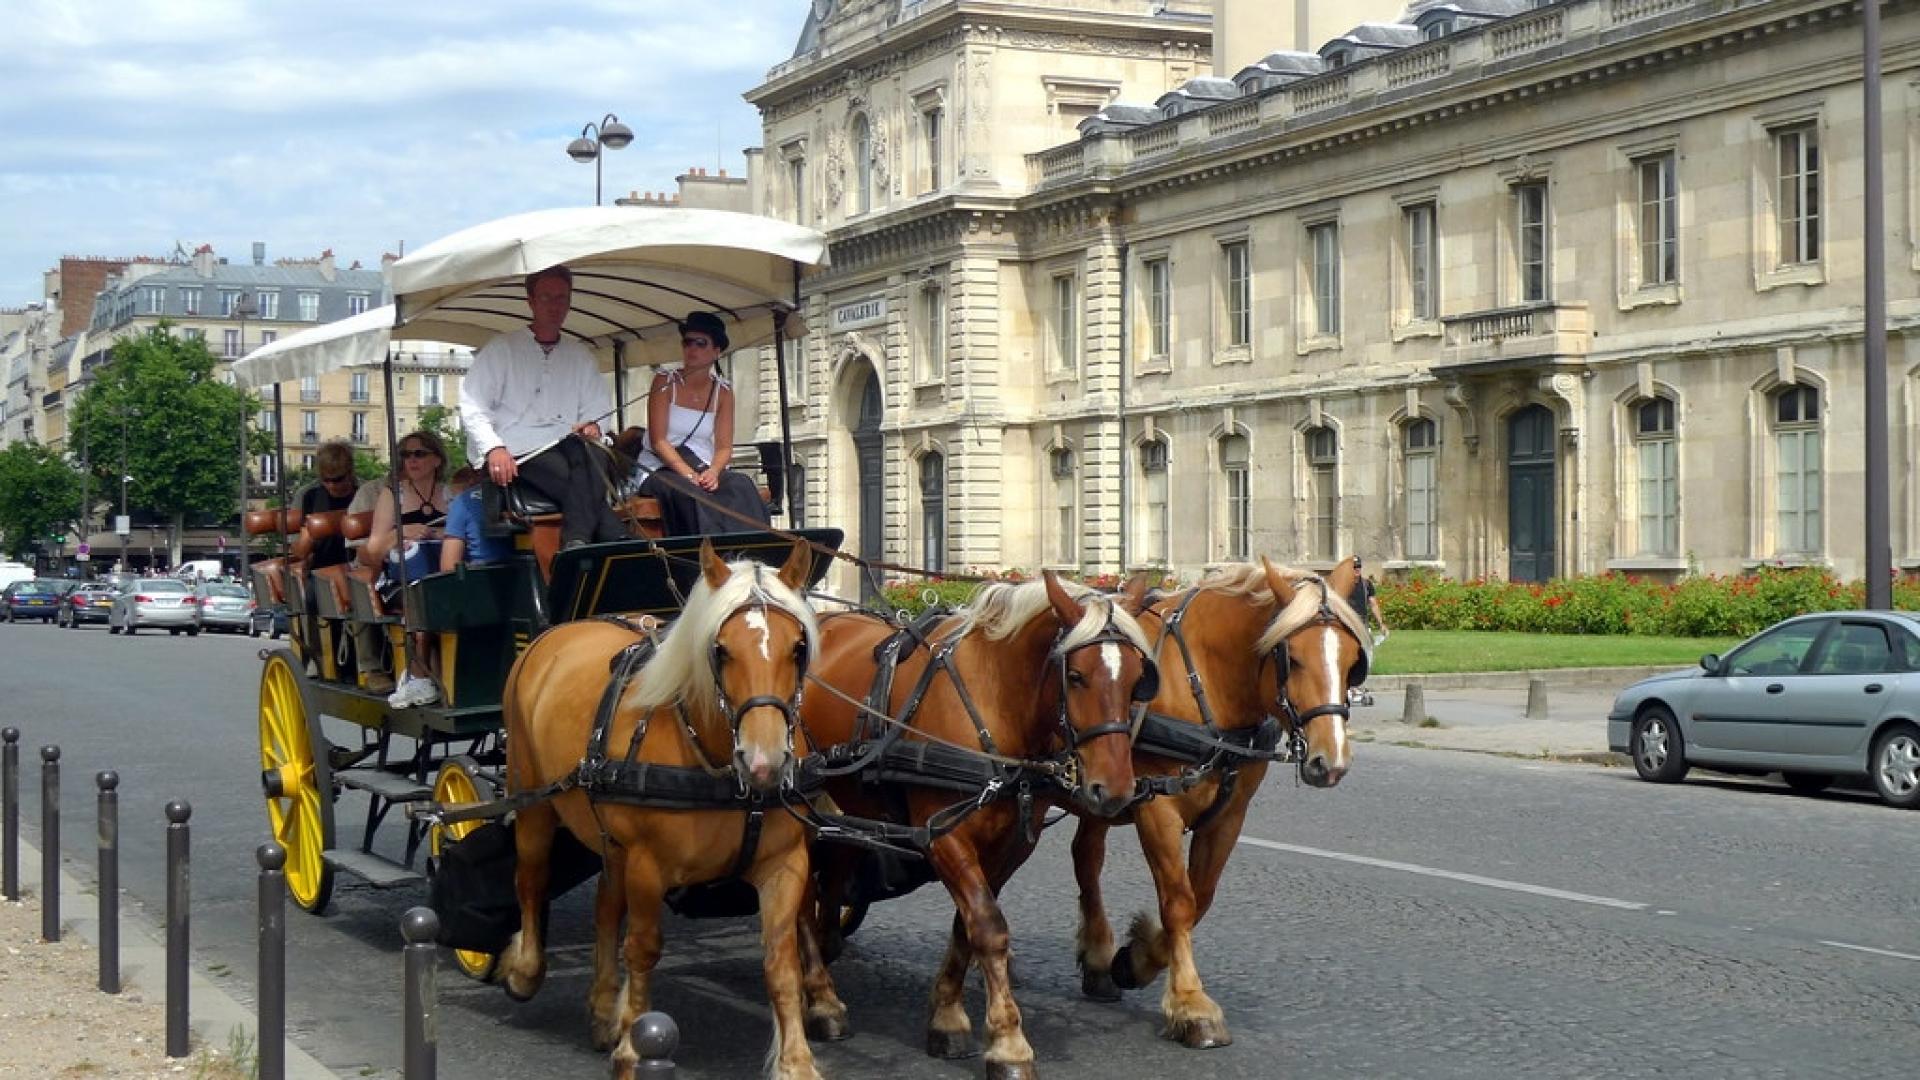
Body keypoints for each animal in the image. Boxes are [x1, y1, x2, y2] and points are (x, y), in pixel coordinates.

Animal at [495, 538, 825, 1076]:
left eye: (798, 648)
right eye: (721, 650)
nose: (764, 761)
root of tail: (558, 631)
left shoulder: (785, 864)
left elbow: (781, 962)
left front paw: (796, 1061)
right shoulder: (649, 865)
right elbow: (644, 947)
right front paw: (635, 1045)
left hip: (609, 834)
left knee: (606, 904)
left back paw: (603, 1006)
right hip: (532, 798)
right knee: (531, 877)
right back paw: (525, 969)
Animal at [798, 568, 1152, 1068]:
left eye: (1139, 678)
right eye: (1077, 675)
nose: (1115, 790)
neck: (994, 703)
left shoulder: (1010, 847)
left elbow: (967, 927)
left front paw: (947, 1016)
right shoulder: (943, 834)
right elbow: (988, 928)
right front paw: (1008, 1042)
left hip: (846, 803)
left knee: (835, 869)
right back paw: (821, 999)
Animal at [1082, 557, 1367, 1045]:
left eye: (1352, 663)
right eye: (1292, 658)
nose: (1330, 762)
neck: (1203, 678)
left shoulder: (1229, 815)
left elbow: (1201, 898)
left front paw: (1138, 959)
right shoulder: (1156, 807)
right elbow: (1178, 901)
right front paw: (1190, 1004)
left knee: (1085, 856)